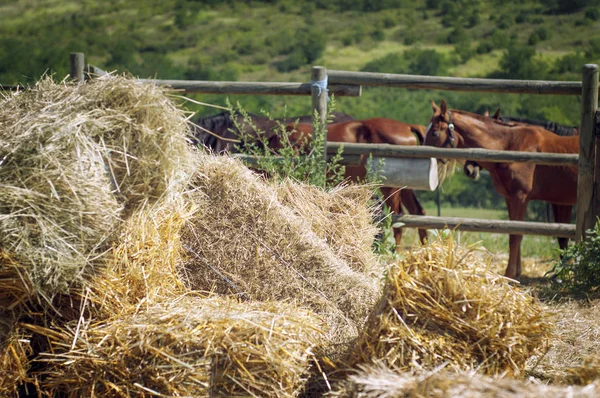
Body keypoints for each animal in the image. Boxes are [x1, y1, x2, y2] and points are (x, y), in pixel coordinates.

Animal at [424, 99, 580, 280]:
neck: (511, 145)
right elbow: (515, 231)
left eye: (434, 133)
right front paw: (516, 273)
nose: (470, 169)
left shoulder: (522, 198)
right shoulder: (513, 198)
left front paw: (510, 273)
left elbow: (517, 236)